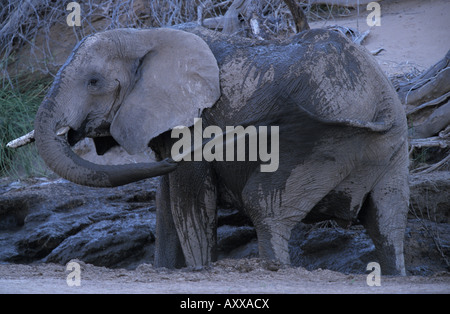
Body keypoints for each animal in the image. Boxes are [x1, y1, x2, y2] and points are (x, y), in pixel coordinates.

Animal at [33, 23, 410, 274]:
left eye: (93, 82)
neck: (144, 36)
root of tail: (382, 101)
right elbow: (165, 201)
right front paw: (166, 271)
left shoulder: (192, 120)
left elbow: (188, 197)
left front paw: (200, 271)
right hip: (388, 150)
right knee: (388, 223)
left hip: (324, 144)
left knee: (265, 207)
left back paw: (273, 269)